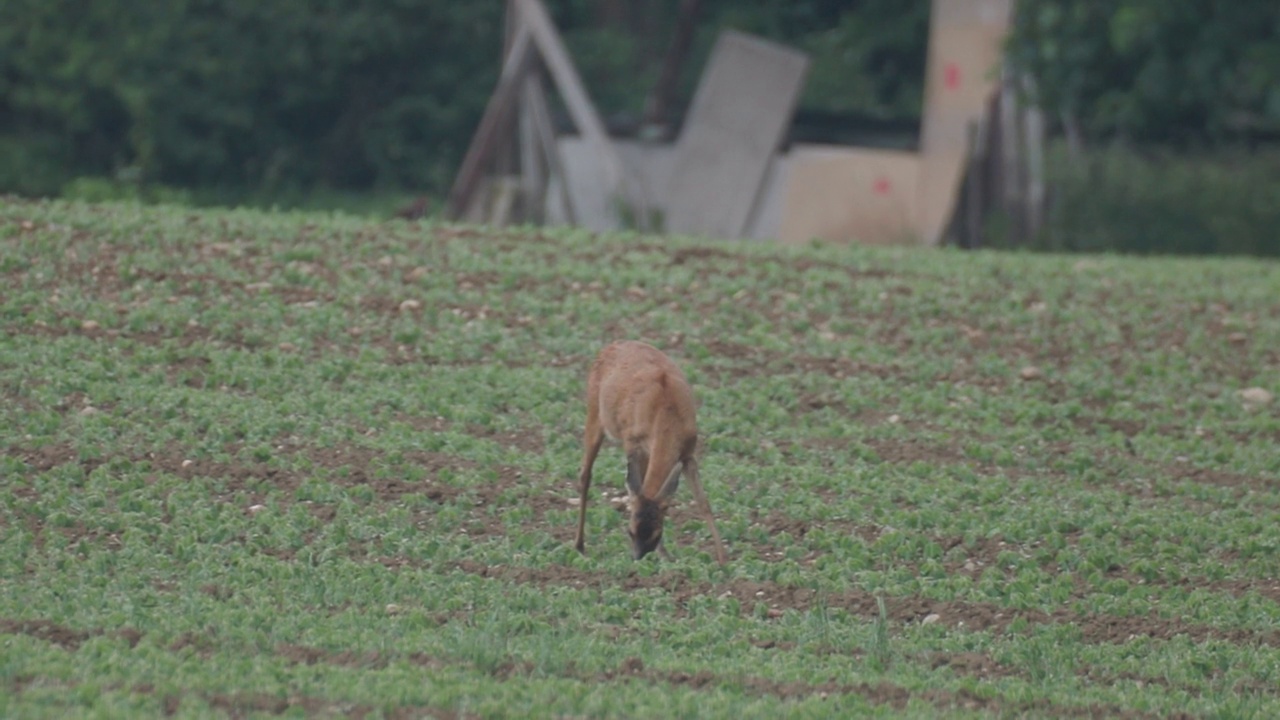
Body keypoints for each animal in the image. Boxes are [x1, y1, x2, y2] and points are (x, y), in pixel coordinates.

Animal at [573, 338, 727, 563]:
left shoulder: (688, 452)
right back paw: (579, 545)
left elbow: (703, 502)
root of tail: (612, 344)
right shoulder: (633, 442)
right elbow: (641, 488)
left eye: (656, 533)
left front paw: (723, 559)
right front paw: (665, 556)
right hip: (594, 411)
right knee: (585, 474)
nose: (637, 557)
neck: (665, 413)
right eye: (630, 531)